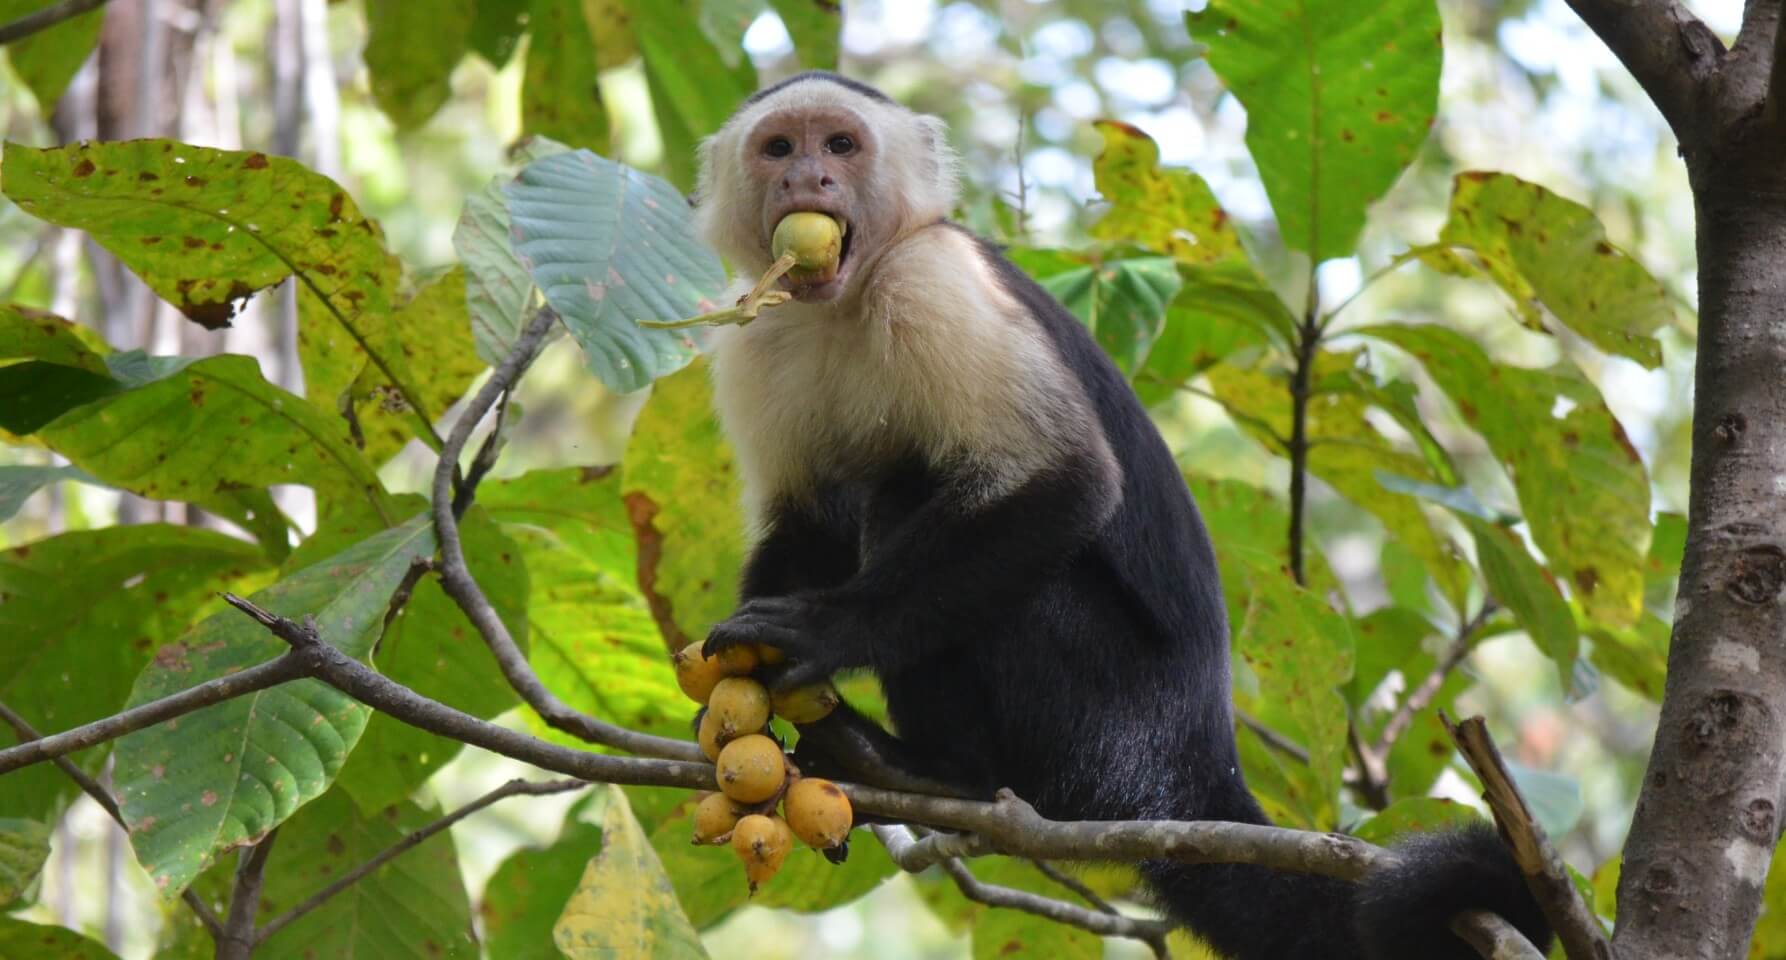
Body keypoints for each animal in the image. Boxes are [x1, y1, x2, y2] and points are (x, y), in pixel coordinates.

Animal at [689, 69, 1543, 956]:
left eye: (841, 145)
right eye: (779, 147)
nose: (809, 179)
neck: (845, 299)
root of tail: (1197, 767)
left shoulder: (935, 280)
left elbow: (1068, 481)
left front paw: (829, 631)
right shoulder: (755, 332)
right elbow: (806, 524)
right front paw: (737, 688)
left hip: (1111, 723)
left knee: (916, 494)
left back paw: (935, 770)